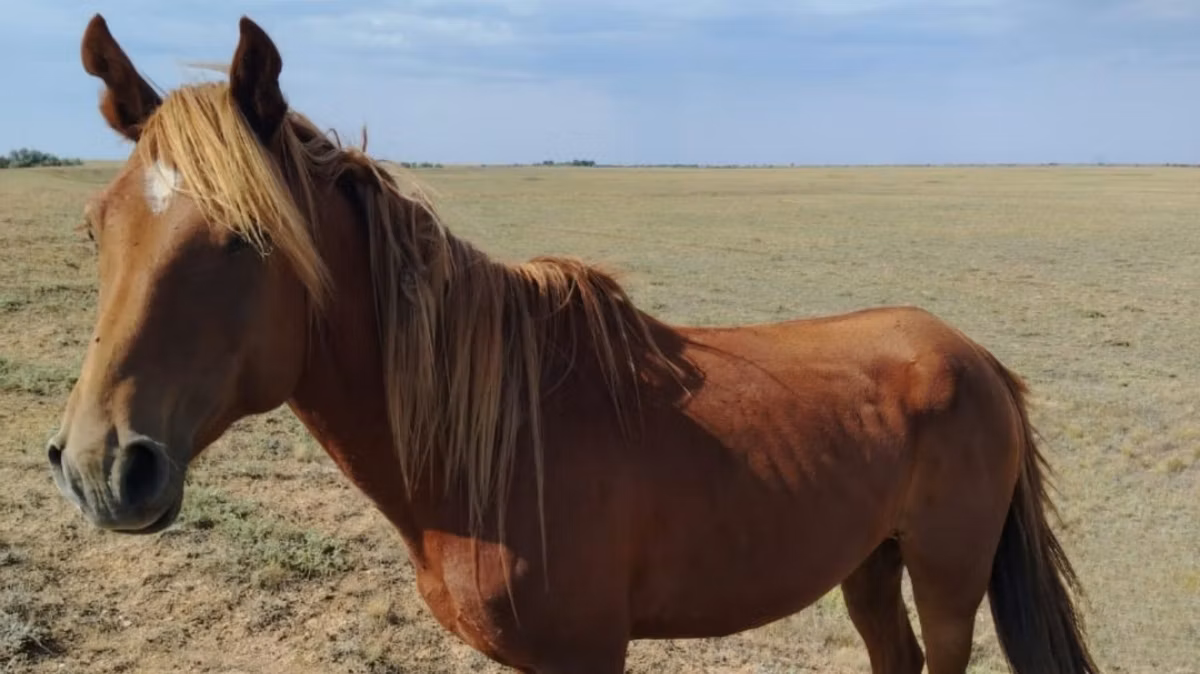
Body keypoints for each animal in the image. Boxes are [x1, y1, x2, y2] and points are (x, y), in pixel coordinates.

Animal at [47, 14, 1098, 674]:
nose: (102, 467)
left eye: (248, 239)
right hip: (869, 565)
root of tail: (977, 359)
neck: (496, 446)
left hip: (948, 576)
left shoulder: (587, 655)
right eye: (95, 228)